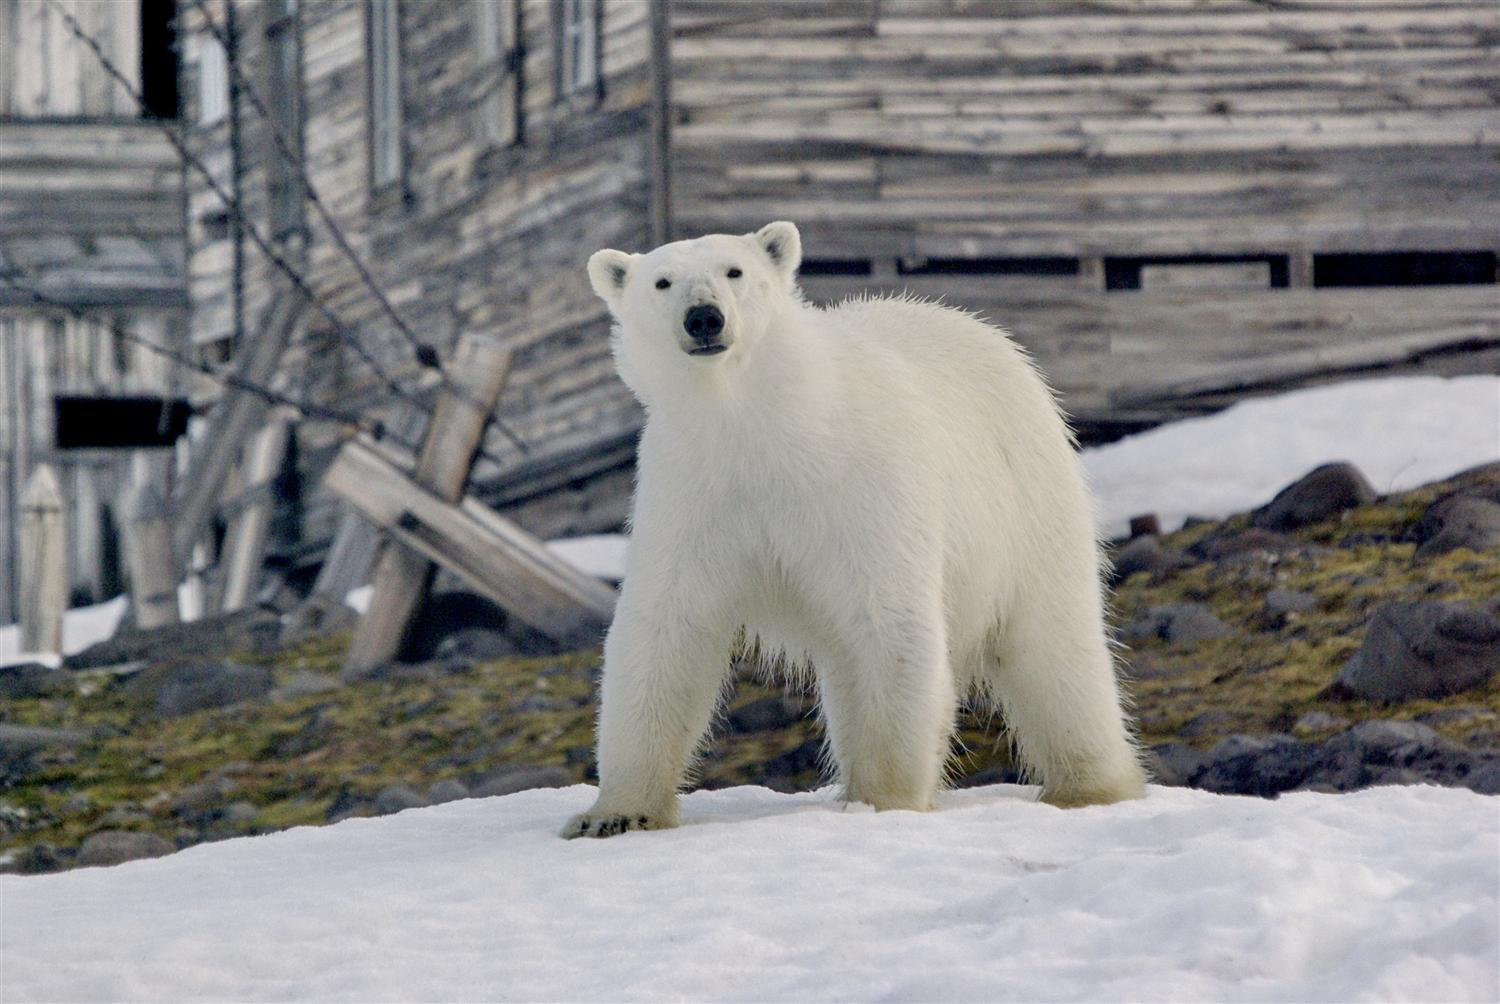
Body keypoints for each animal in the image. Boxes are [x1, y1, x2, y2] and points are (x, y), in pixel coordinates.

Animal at [564, 220, 1146, 840]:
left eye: (734, 271)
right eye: (662, 281)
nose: (703, 317)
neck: (759, 421)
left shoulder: (860, 486)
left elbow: (889, 621)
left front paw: (886, 802)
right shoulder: (691, 494)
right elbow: (664, 629)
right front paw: (613, 815)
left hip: (1027, 499)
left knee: (1055, 644)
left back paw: (1091, 787)